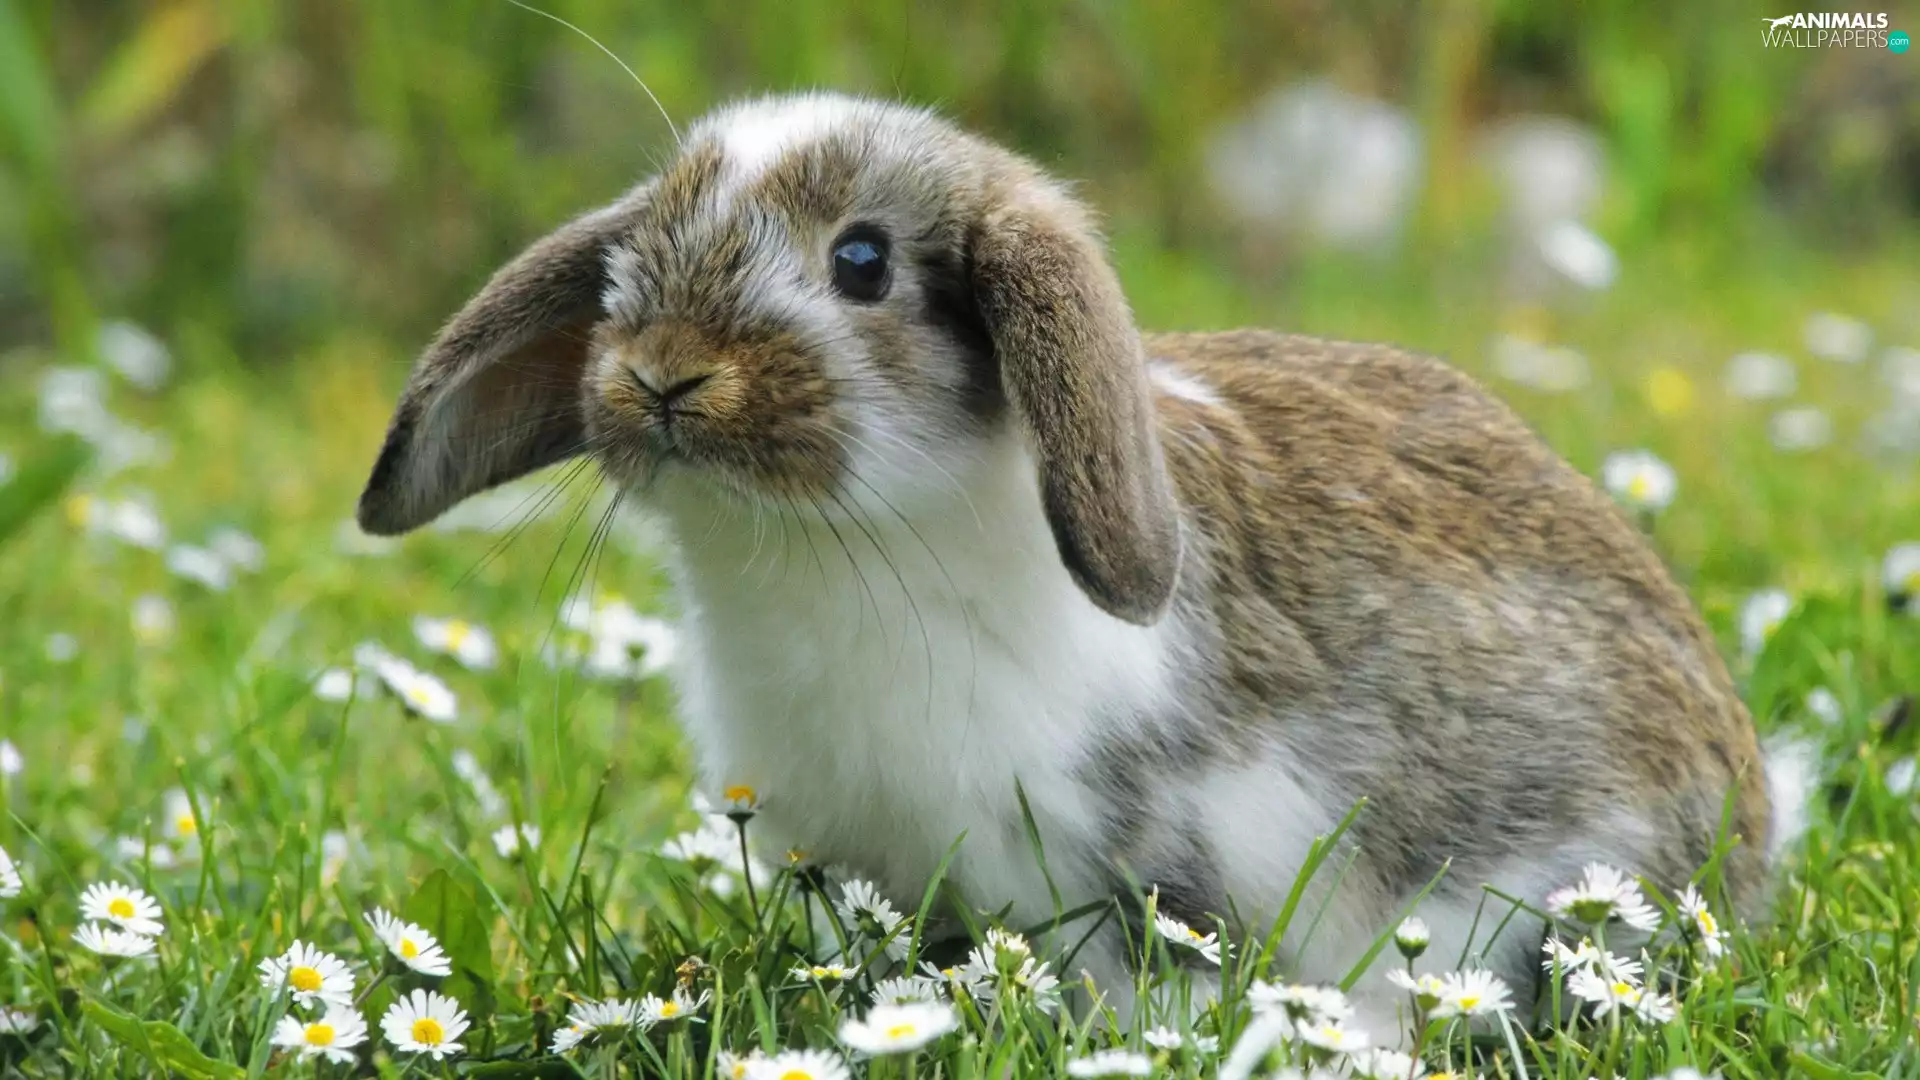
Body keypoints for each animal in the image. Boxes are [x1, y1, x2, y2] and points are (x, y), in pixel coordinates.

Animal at [355, 92, 1808, 1032]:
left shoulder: (1152, 862)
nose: (662, 377)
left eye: (863, 261)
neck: (834, 549)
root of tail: (1755, 810)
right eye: (632, 259)